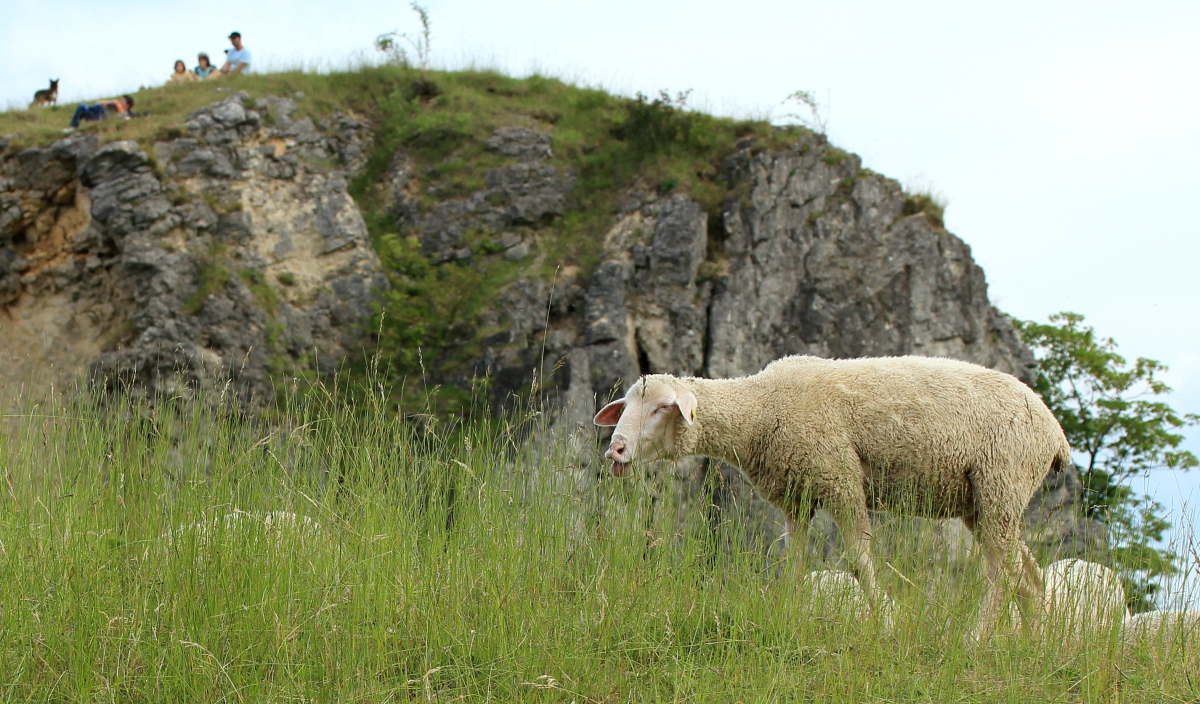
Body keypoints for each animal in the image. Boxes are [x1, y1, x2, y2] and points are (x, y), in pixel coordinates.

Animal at [595, 354, 1075, 642]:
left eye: (662, 407)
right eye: (627, 406)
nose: (615, 450)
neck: (761, 409)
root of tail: (1055, 432)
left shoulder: (841, 477)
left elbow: (860, 563)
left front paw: (887, 622)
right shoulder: (797, 496)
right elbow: (793, 562)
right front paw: (788, 613)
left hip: (1002, 481)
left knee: (1004, 577)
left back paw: (974, 640)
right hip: (987, 501)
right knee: (1028, 578)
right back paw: (1034, 646)